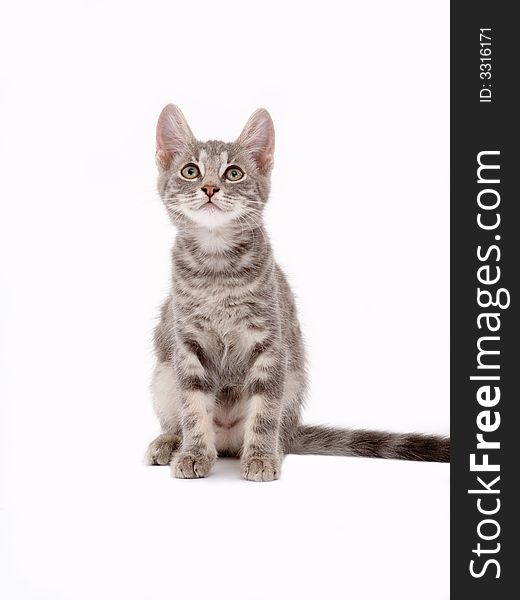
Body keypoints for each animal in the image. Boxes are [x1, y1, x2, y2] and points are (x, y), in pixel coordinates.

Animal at [144, 105, 448, 482]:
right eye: (190, 171)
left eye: (233, 173)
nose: (210, 187)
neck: (217, 267)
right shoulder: (186, 343)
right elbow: (193, 407)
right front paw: (194, 452)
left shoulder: (270, 343)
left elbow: (264, 409)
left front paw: (260, 456)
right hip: (163, 375)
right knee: (176, 416)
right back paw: (171, 441)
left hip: (292, 382)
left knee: (277, 426)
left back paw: (270, 447)